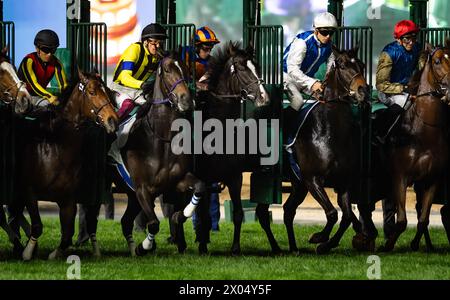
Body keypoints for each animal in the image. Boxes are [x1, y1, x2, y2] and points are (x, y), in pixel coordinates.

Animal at [9, 70, 118, 260]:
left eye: (108, 92)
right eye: (92, 92)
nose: (113, 120)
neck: (55, 148)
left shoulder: (67, 200)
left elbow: (67, 235)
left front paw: (53, 254)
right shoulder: (29, 192)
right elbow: (37, 226)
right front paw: (27, 253)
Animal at [380, 41, 450, 251]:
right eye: (437, 61)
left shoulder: (432, 179)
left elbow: (423, 218)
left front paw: (415, 243)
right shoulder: (400, 176)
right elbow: (402, 220)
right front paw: (388, 244)